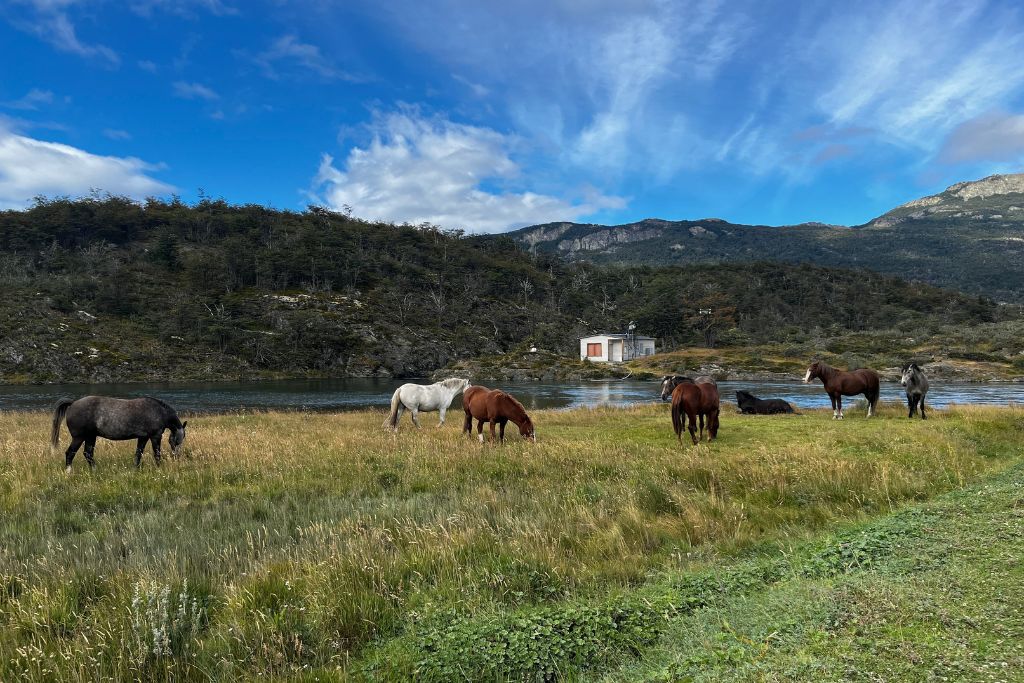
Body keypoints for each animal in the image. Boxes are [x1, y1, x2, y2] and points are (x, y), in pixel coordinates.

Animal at [51, 396, 188, 472]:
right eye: (176, 441)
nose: (176, 457)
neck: (158, 411)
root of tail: (73, 403)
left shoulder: (143, 438)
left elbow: (138, 453)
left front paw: (135, 469)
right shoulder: (155, 436)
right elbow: (157, 453)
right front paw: (159, 468)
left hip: (90, 437)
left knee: (88, 453)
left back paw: (95, 470)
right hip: (79, 438)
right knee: (70, 453)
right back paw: (69, 471)